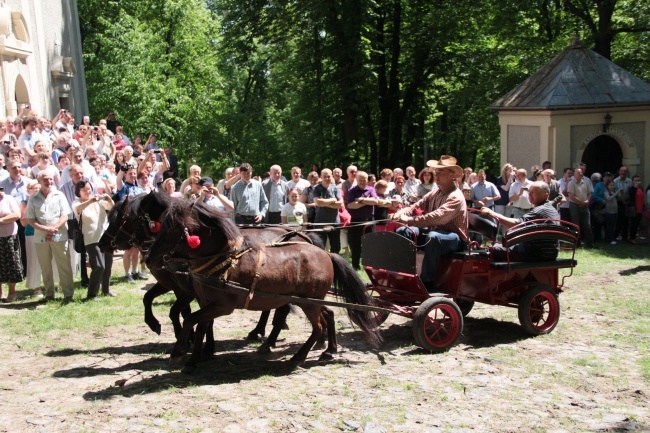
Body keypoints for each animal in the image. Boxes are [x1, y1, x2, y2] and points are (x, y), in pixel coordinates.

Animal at [146, 199, 380, 372]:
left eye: (175, 228)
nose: (148, 258)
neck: (223, 260)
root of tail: (327, 254)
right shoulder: (205, 302)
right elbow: (201, 325)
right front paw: (194, 359)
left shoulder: (222, 305)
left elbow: (190, 320)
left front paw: (178, 352)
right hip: (310, 300)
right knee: (327, 315)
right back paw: (328, 350)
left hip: (308, 303)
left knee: (318, 326)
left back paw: (298, 356)